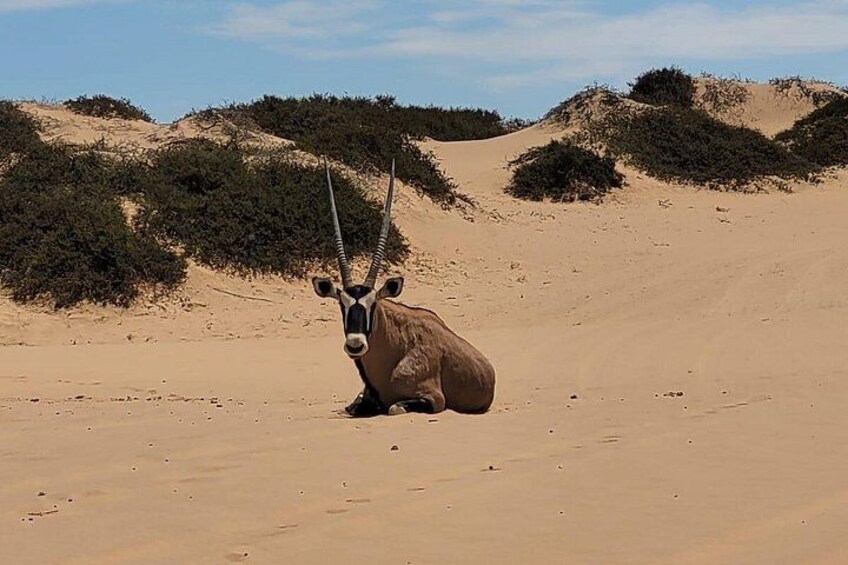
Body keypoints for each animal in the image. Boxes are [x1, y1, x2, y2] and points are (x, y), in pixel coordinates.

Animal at [312, 160, 496, 416]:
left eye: (373, 304)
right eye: (342, 304)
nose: (355, 345)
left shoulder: (434, 399)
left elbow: (394, 408)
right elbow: (353, 407)